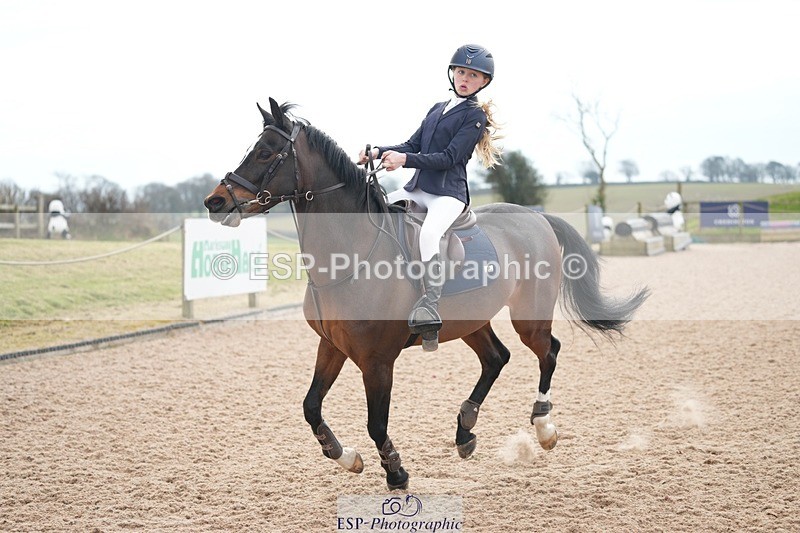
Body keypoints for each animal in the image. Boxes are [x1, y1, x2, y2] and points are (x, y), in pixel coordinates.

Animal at [204, 98, 649, 490]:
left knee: (548, 351)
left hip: (529, 316)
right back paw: (465, 431)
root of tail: (536, 217)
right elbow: (311, 406)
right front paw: (347, 457)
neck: (349, 256)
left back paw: (543, 427)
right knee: (496, 358)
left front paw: (396, 472)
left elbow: (376, 423)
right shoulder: (332, 346)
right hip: (471, 321)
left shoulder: (377, 361)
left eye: (265, 152)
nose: (215, 201)